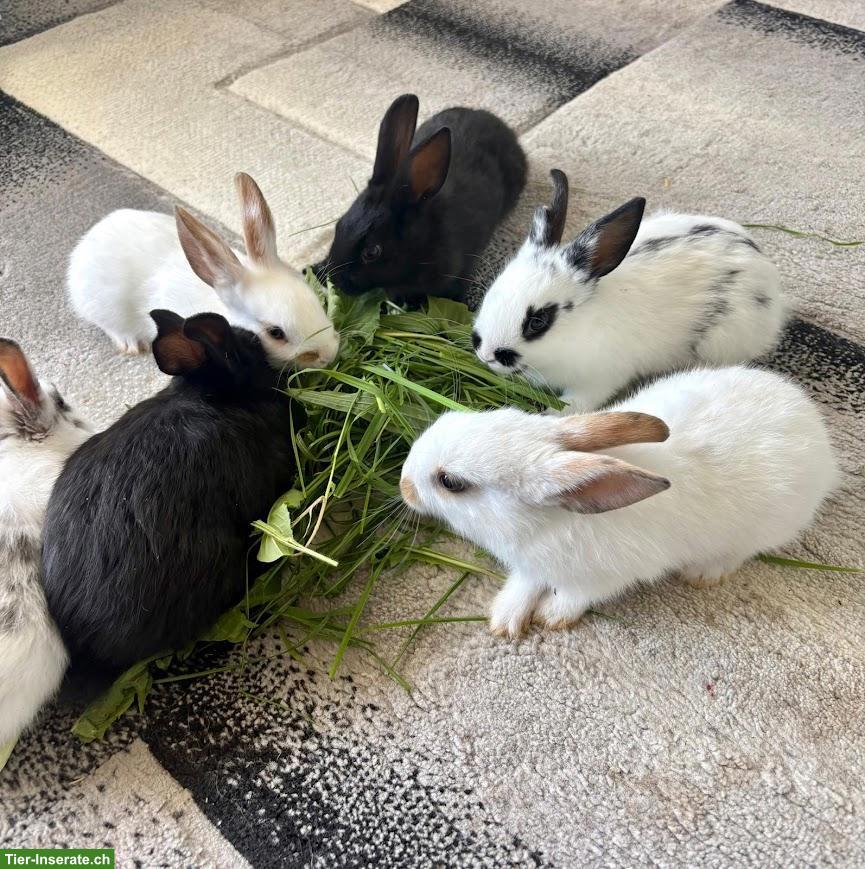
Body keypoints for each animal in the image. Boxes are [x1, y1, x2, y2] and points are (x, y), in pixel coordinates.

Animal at [68, 172, 339, 367]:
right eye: (276, 333)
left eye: (316, 301)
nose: (330, 353)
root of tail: (87, 240)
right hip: (104, 307)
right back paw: (130, 344)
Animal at [400, 366, 837, 639]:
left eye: (451, 482)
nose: (404, 485)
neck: (551, 521)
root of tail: (812, 423)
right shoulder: (531, 567)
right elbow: (524, 585)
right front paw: (505, 621)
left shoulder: (606, 577)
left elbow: (576, 596)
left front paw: (552, 616)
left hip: (764, 528)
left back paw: (704, 574)